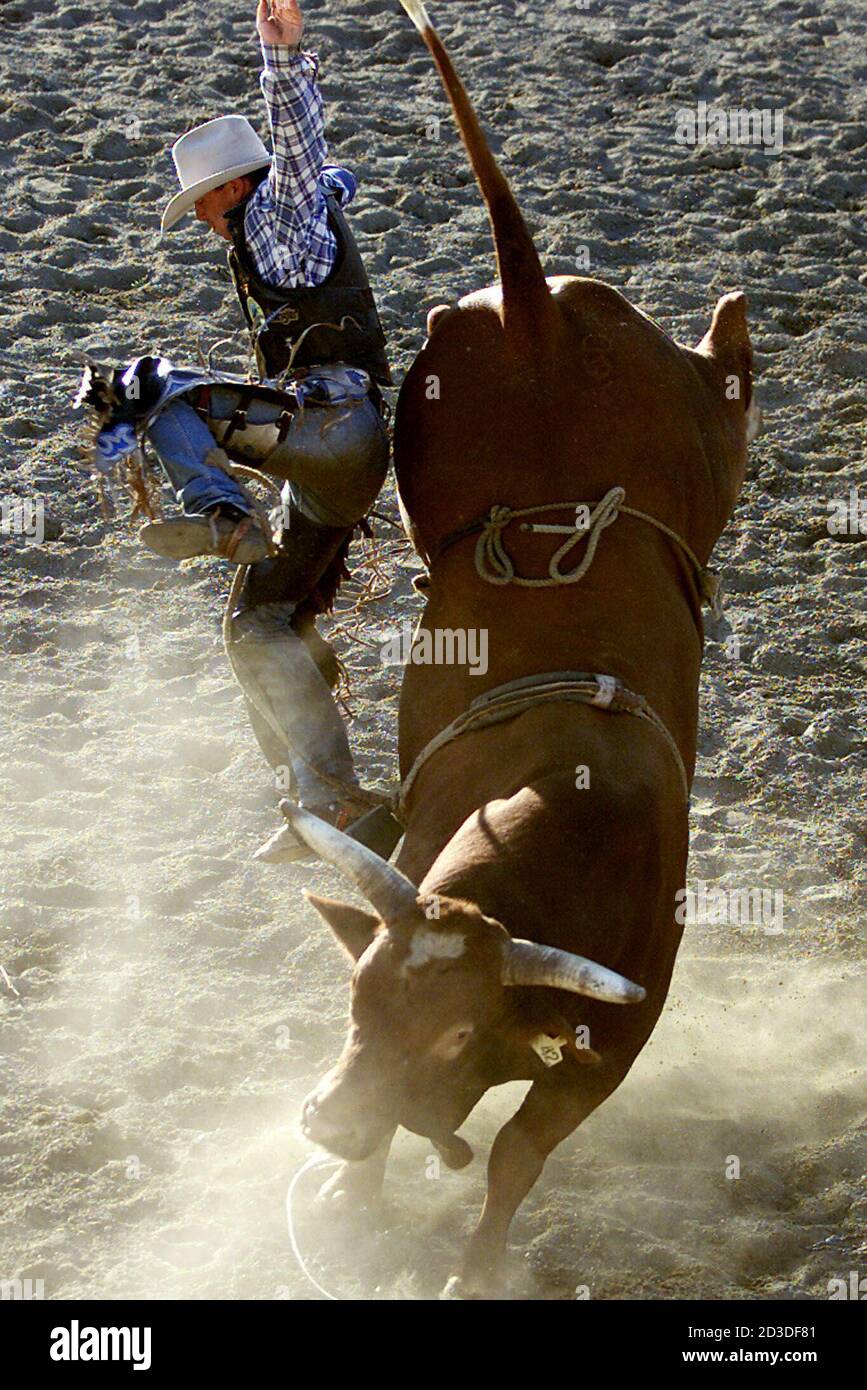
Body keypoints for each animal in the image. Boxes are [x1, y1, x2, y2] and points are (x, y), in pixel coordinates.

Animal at [261, 0, 757, 1298]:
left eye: (445, 1029)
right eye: (355, 1003)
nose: (317, 1118)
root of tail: (533, 304)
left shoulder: (611, 1046)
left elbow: (517, 1154)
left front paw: (473, 1263)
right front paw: (355, 1188)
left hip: (692, 439)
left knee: (730, 393)